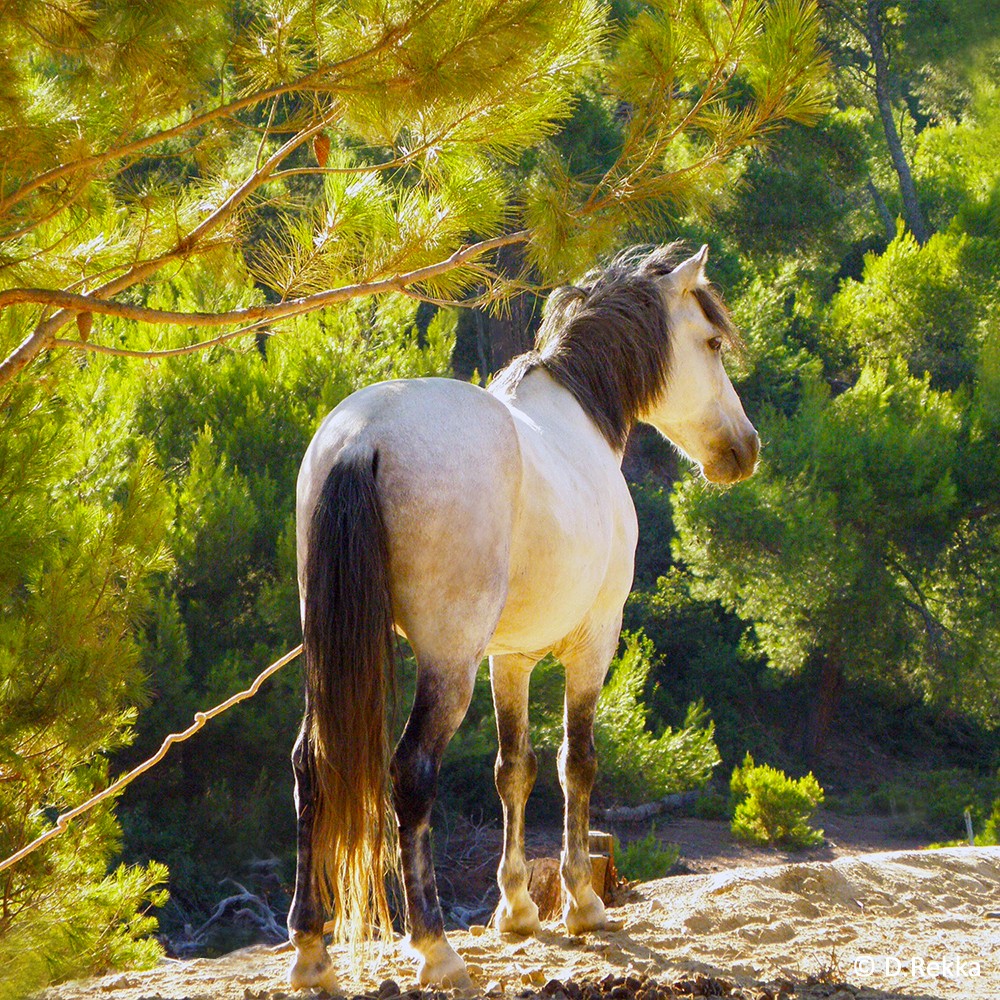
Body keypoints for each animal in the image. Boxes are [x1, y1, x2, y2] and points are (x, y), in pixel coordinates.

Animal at [287, 244, 759, 991]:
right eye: (711, 342)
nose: (744, 449)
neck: (578, 416)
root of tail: (365, 438)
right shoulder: (593, 643)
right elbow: (576, 763)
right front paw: (583, 904)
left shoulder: (508, 658)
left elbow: (514, 767)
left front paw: (515, 911)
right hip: (446, 663)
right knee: (411, 774)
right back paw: (435, 947)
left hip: (332, 654)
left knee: (311, 765)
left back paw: (309, 951)